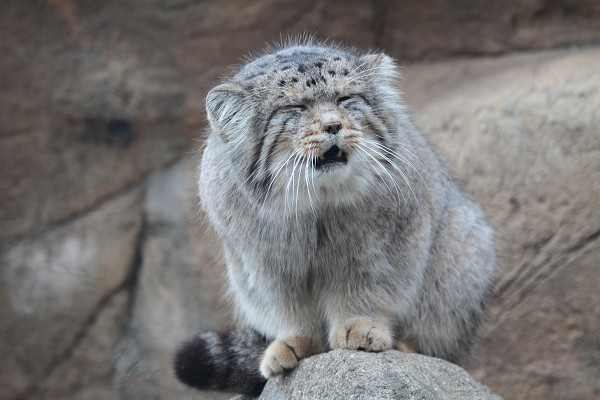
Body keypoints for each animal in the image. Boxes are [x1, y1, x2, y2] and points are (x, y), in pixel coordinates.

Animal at [174, 40, 495, 396]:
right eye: (296, 106)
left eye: (345, 98)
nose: (333, 125)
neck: (315, 205)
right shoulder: (266, 266)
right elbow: (287, 308)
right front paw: (294, 340)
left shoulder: (377, 251)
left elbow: (366, 290)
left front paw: (359, 325)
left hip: (463, 255)